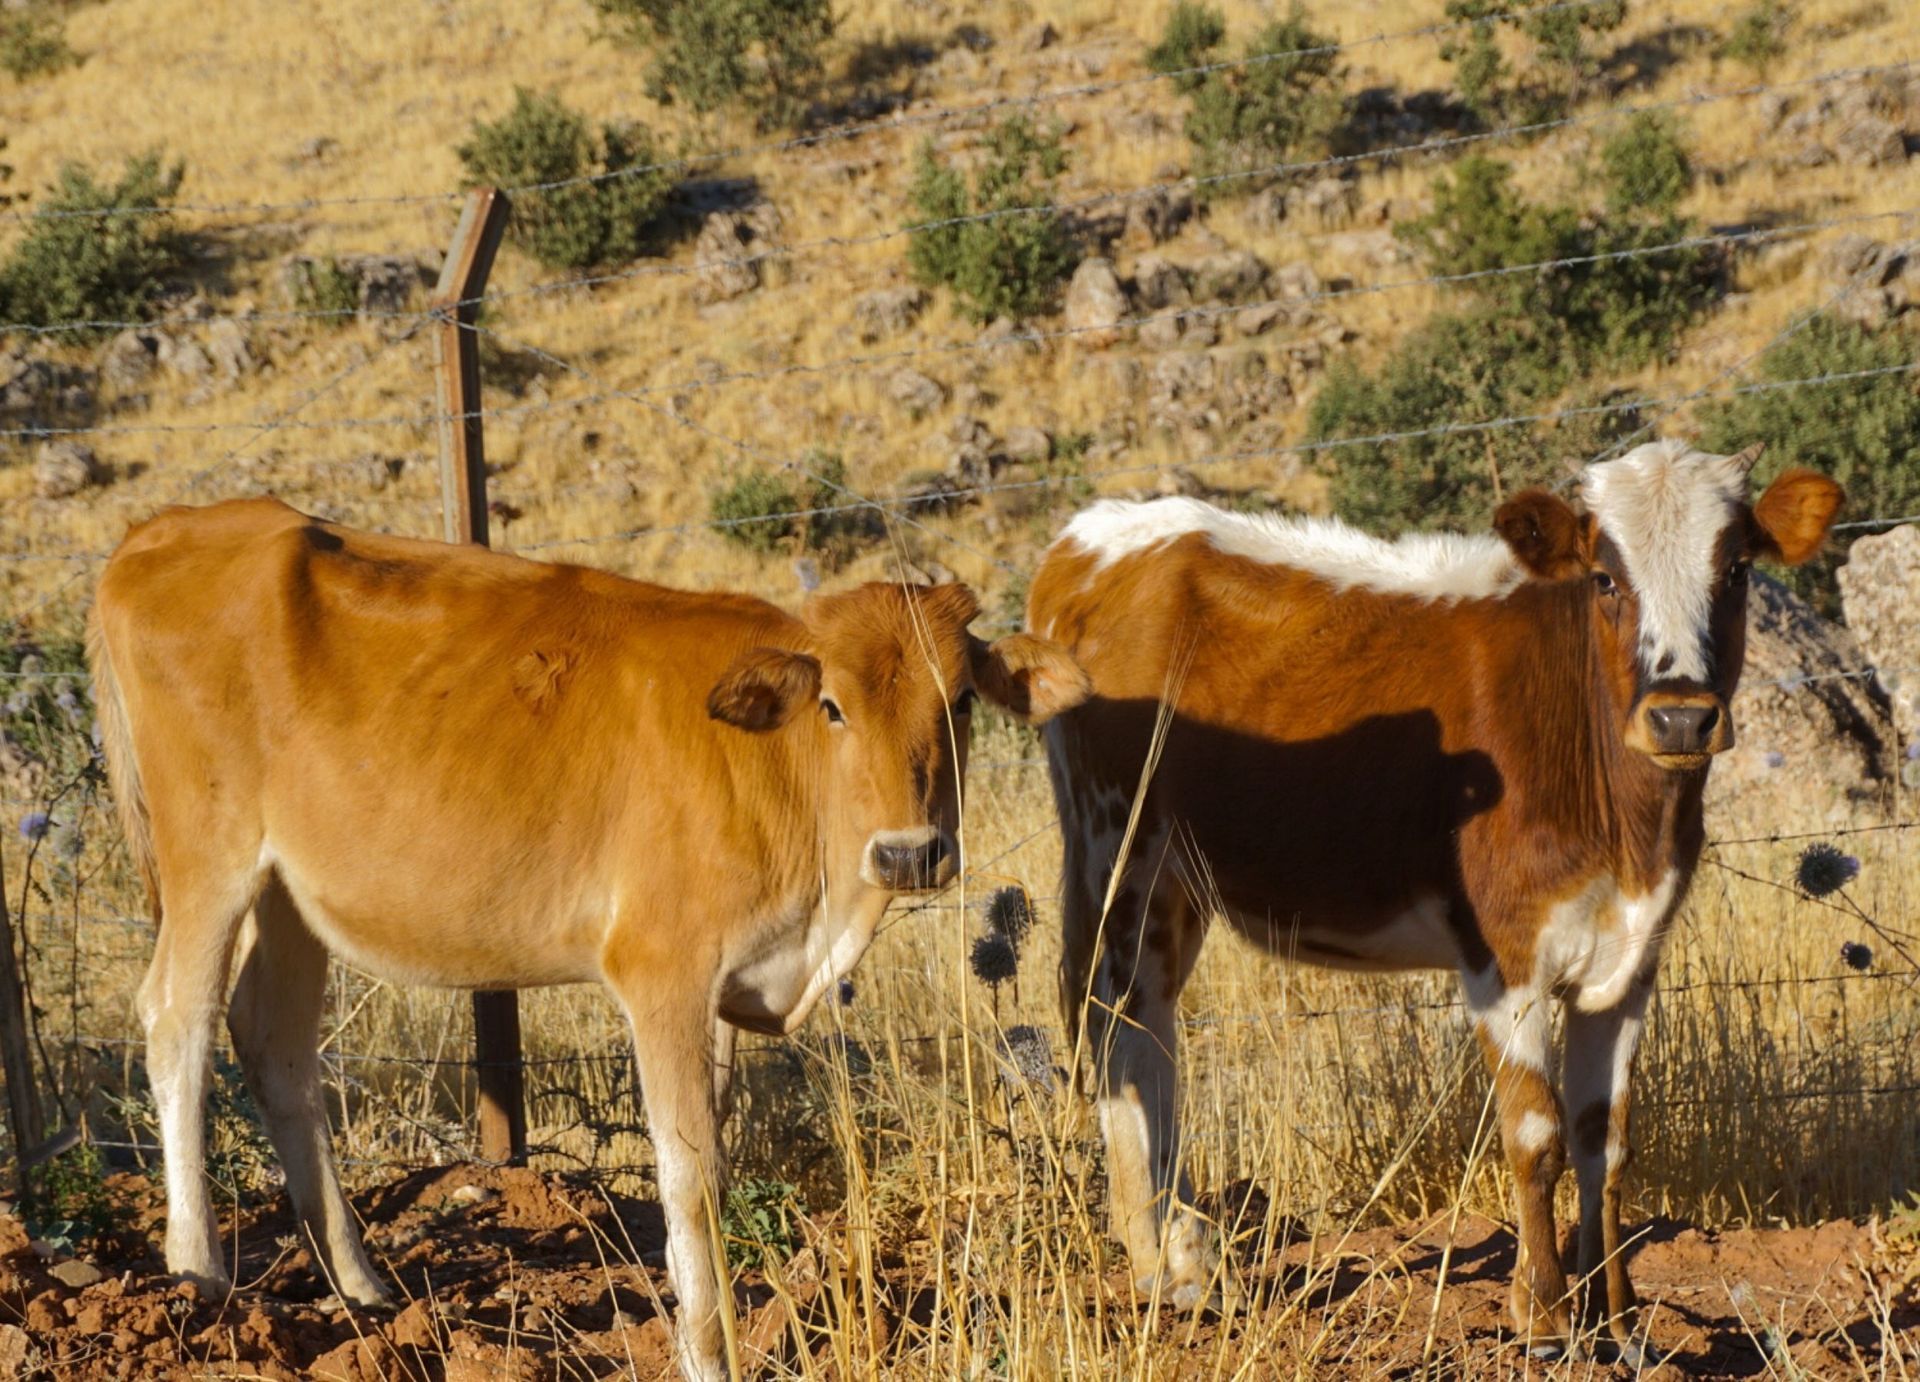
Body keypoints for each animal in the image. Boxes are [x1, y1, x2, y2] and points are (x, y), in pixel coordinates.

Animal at [88, 497, 1089, 1382]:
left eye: (961, 701)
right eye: (833, 706)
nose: (909, 850)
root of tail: (166, 529)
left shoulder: (723, 989)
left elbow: (711, 1167)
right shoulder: (662, 971)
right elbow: (688, 1173)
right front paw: (705, 1355)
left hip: (292, 893)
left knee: (278, 1045)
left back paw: (361, 1286)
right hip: (208, 856)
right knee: (177, 1018)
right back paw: (198, 1273)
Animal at [1027, 440, 1841, 1361]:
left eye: (1737, 570)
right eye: (1604, 577)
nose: (1678, 719)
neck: (1626, 824)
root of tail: (1097, 533)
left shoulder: (1633, 959)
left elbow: (1607, 1139)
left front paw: (1621, 1322)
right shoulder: (1506, 955)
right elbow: (1536, 1135)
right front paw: (1545, 1318)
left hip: (1175, 882)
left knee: (1153, 1032)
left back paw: (1190, 1261)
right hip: (1115, 850)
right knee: (1114, 1024)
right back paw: (1165, 1267)